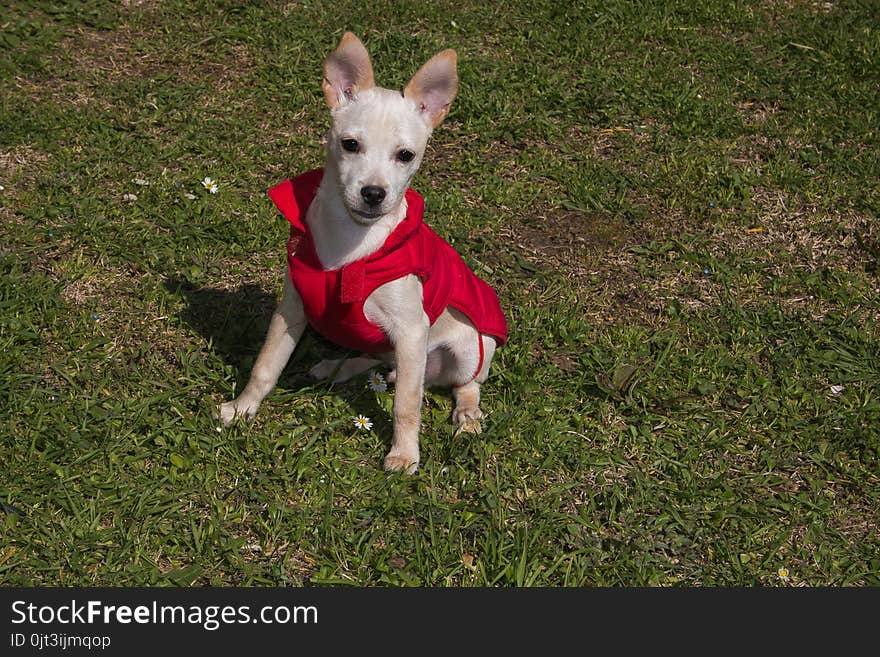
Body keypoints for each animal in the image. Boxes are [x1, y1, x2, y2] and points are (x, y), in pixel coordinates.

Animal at [217, 32, 508, 472]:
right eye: (350, 145)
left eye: (406, 156)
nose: (373, 193)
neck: (351, 243)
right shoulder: (292, 309)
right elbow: (266, 365)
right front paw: (242, 408)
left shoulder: (412, 329)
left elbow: (407, 405)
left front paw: (404, 455)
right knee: (385, 361)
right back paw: (338, 366)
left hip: (469, 348)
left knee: (463, 384)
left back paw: (467, 415)